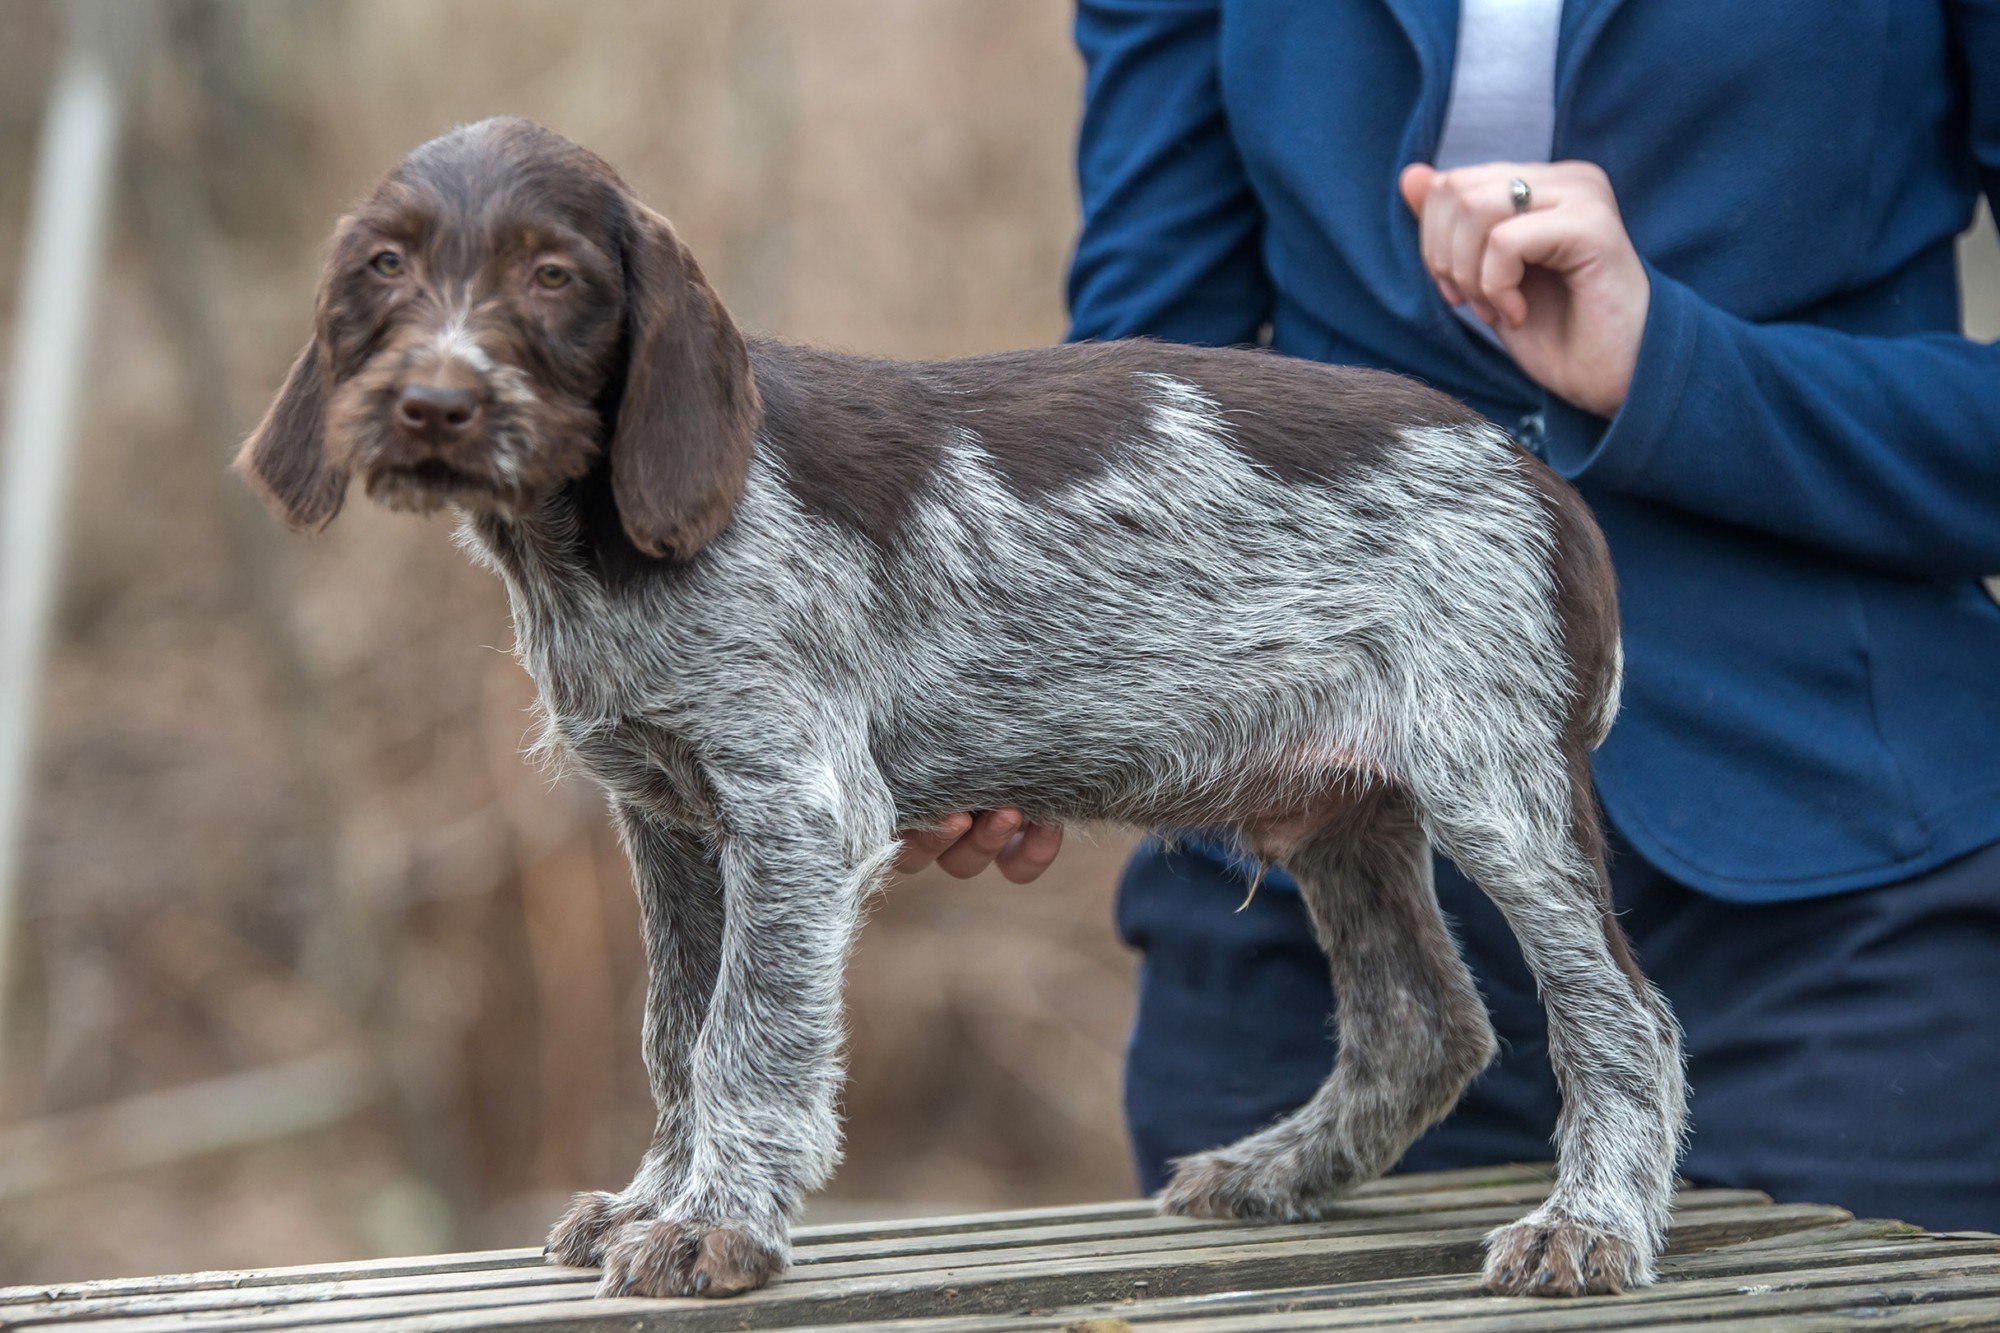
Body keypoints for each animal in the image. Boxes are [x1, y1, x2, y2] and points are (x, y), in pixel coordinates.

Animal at [246, 116, 1688, 1296]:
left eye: (552, 276)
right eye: (386, 267)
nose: (435, 404)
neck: (588, 542)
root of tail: (1534, 473)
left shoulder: (796, 810)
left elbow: (742, 1036)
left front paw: (717, 1220)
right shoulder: (666, 818)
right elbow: (673, 1030)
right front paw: (658, 1193)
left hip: (1496, 784)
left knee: (1623, 1020)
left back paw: (1590, 1224)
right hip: (1346, 812)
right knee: (1420, 1023)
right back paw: (1280, 1169)